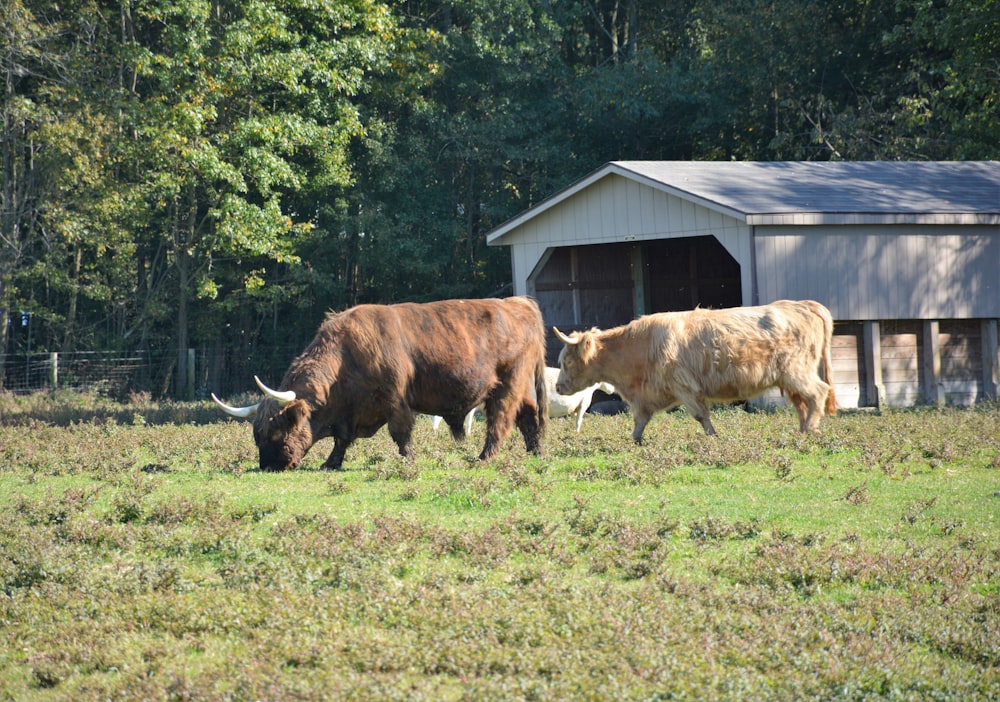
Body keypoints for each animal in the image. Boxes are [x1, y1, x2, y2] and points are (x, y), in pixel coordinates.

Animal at [214, 298, 552, 472]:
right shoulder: (349, 414)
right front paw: (330, 463)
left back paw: (484, 458)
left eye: (276, 432)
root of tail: (518, 302)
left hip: (508, 383)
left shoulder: (395, 398)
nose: (269, 466)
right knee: (528, 416)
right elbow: (342, 441)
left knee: (501, 420)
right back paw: (535, 452)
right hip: (522, 386)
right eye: (256, 435)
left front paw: (409, 460)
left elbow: (401, 432)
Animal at [556, 300, 836, 442]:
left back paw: (811, 430)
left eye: (566, 361)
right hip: (789, 379)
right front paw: (634, 441)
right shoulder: (647, 397)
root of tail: (804, 304)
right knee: (803, 403)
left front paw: (713, 438)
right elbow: (640, 421)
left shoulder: (684, 386)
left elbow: (701, 416)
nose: (558, 387)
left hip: (796, 371)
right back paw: (803, 432)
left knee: (818, 393)